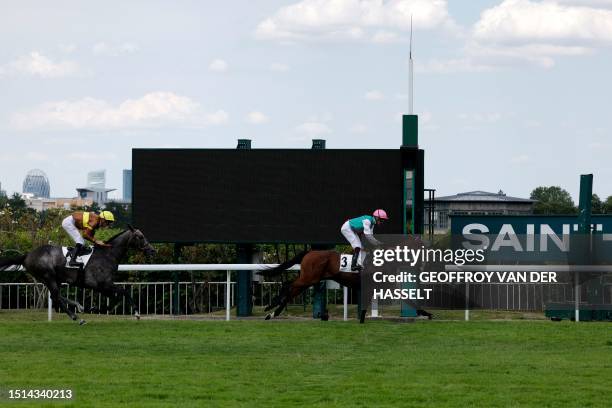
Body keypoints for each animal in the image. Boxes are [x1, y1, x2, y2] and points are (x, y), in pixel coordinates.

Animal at [0, 226, 157, 326]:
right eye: (140, 236)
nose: (152, 250)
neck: (107, 255)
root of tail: (27, 255)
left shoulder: (103, 286)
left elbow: (116, 298)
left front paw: (93, 308)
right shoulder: (102, 284)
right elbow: (123, 292)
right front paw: (136, 313)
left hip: (53, 279)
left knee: (55, 296)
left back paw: (78, 308)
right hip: (48, 277)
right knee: (56, 297)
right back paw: (77, 317)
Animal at [258, 250, 430, 324]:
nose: (422, 265)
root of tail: (310, 252)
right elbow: (406, 297)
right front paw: (427, 313)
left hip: (309, 278)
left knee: (290, 289)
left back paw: (272, 312)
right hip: (309, 278)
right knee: (288, 286)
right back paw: (270, 310)